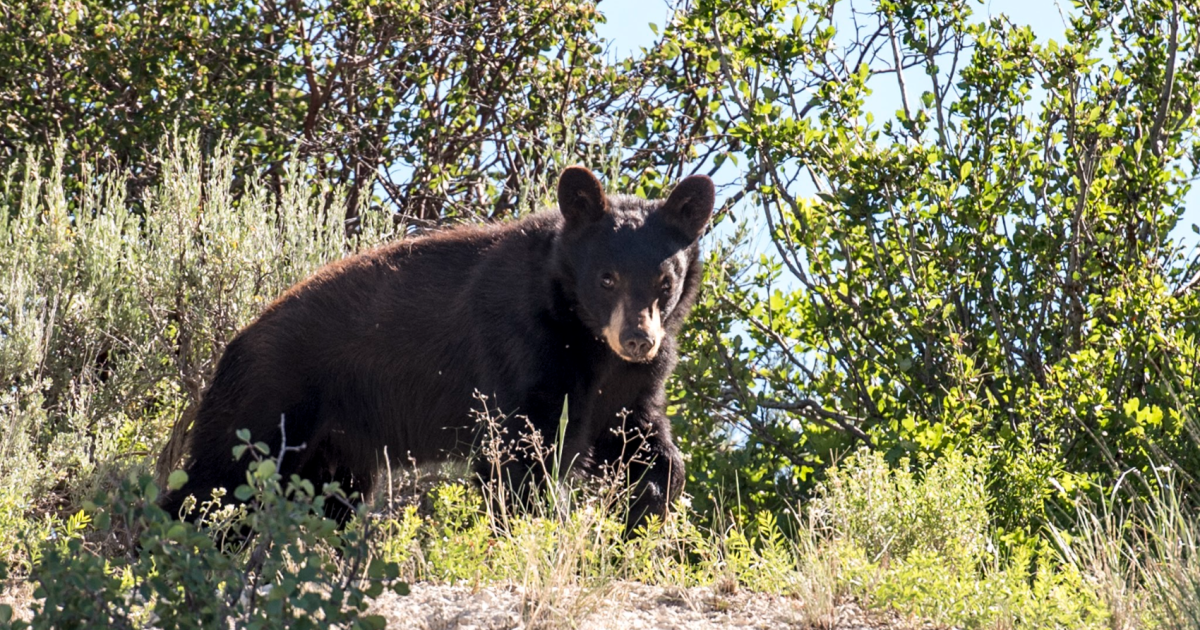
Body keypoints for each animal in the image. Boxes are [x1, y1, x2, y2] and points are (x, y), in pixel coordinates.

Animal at [158, 166, 715, 532]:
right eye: (607, 277)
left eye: (664, 282)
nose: (638, 339)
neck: (585, 335)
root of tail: (233, 344)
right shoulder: (523, 347)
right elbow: (518, 454)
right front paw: (535, 531)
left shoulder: (631, 382)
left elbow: (639, 436)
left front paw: (646, 507)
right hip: (270, 398)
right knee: (217, 481)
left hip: (335, 447)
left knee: (326, 499)